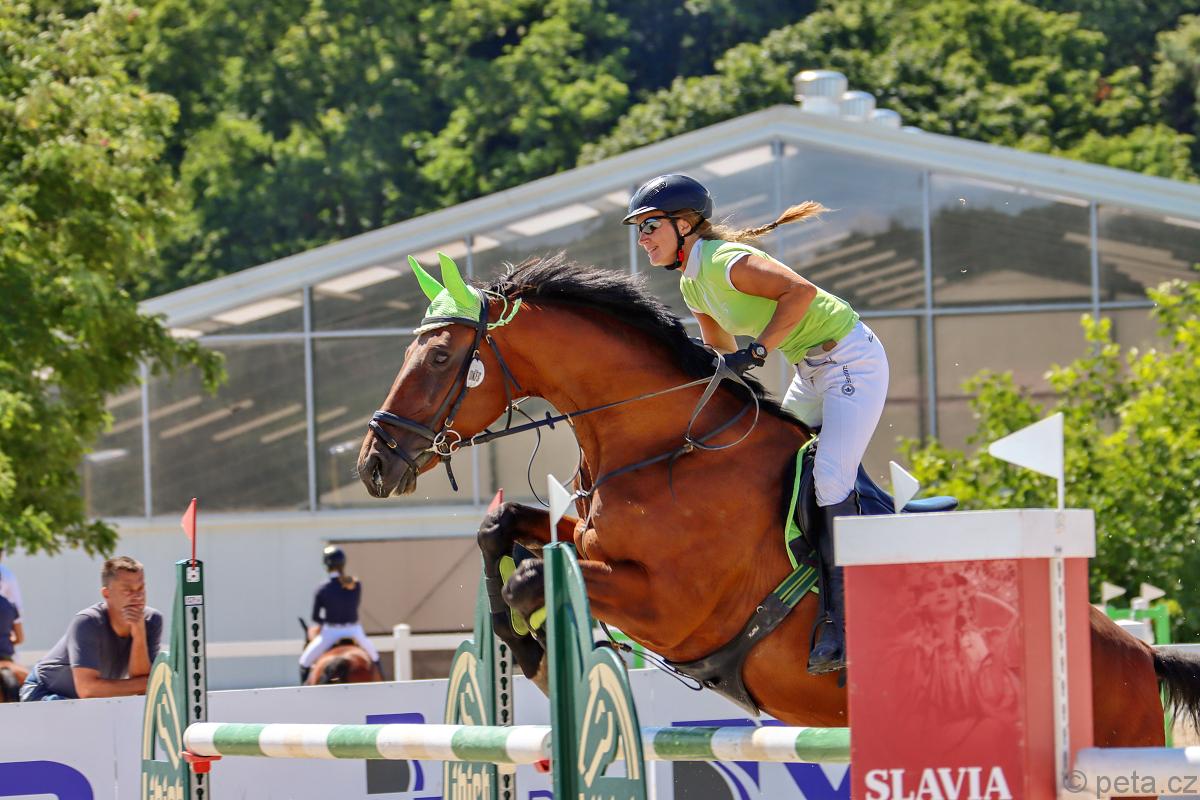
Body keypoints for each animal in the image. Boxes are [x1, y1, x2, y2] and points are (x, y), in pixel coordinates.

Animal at [356, 252, 1200, 747]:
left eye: (439, 358)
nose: (375, 463)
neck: (663, 444)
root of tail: (1137, 652)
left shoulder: (674, 608)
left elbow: (534, 574)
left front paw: (533, 649)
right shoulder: (581, 531)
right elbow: (503, 528)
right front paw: (519, 644)